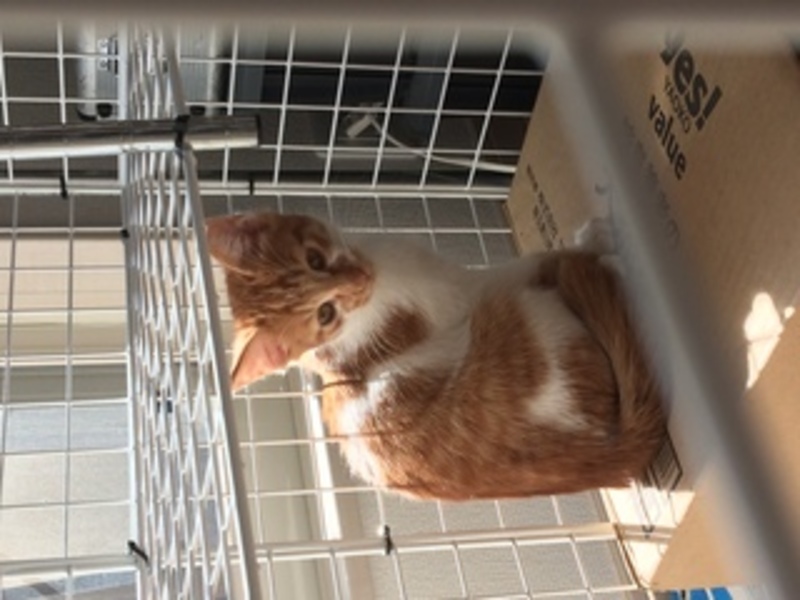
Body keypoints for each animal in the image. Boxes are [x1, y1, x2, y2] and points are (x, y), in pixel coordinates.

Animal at [206, 211, 666, 500]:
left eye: (315, 260)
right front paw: (596, 240)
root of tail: (611, 458)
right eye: (325, 314)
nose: (359, 278)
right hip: (537, 323)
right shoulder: (469, 292)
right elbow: (530, 264)